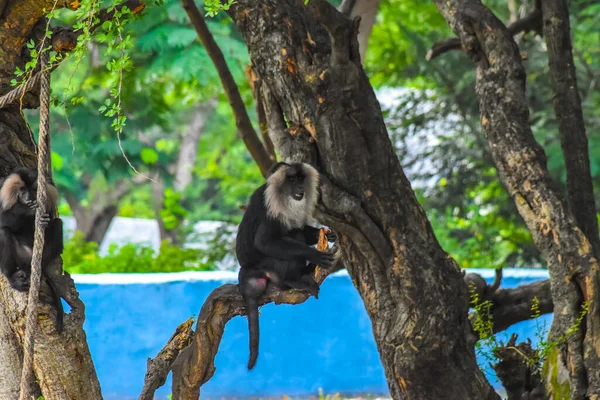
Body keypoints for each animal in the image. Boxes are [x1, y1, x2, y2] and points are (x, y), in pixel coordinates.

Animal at [0, 166, 65, 332]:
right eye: (22, 190)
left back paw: (37, 269)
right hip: (19, 255)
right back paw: (13, 278)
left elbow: (50, 218)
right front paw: (25, 209)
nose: (29, 198)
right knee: (3, 233)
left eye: (34, 189)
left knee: (57, 224)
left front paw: (42, 219)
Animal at [234, 162, 338, 368]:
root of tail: (247, 268)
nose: (299, 188)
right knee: (291, 239)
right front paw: (315, 255)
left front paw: (325, 234)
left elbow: (301, 228)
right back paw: (294, 280)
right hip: (270, 265)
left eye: (301, 179)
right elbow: (265, 241)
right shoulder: (272, 206)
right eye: (291, 179)